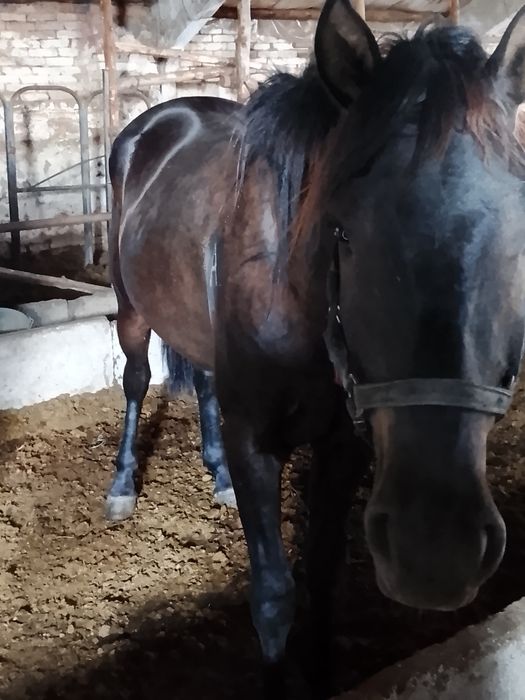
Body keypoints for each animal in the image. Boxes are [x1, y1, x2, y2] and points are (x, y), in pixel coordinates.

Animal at [105, 0, 525, 696]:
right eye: (343, 231)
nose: (435, 549)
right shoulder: (258, 444)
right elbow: (274, 595)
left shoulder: (343, 446)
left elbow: (323, 583)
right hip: (130, 309)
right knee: (137, 382)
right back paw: (120, 486)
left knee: (207, 385)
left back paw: (215, 472)